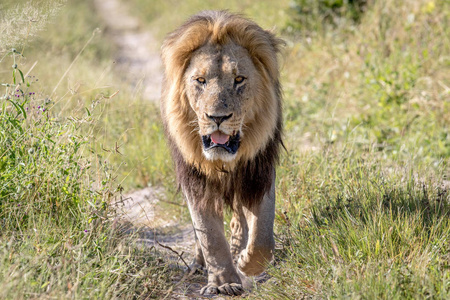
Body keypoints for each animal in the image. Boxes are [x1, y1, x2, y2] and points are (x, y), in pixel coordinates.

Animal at [160, 10, 284, 296]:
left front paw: (247, 263)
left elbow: (262, 234)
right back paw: (199, 264)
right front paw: (223, 282)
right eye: (200, 81)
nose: (217, 117)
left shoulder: (258, 172)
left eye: (239, 80)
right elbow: (209, 234)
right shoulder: (195, 179)